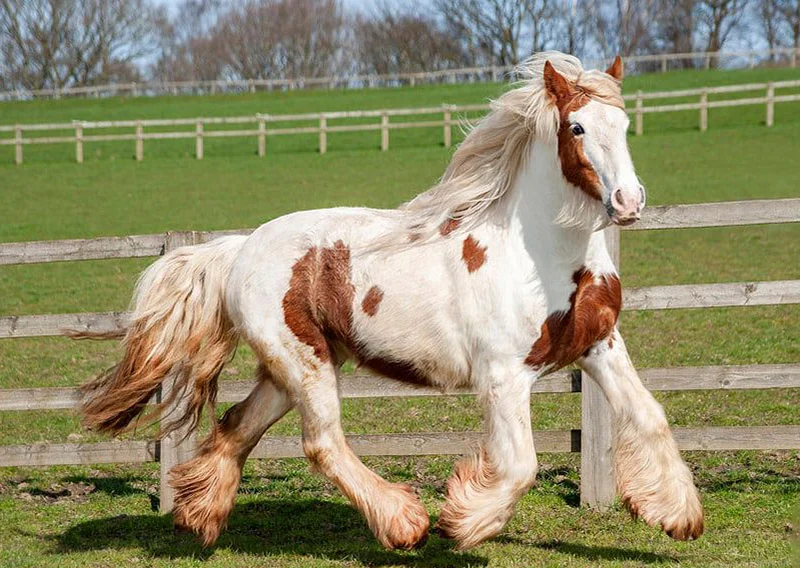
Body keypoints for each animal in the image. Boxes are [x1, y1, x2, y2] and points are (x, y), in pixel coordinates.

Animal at [76, 52, 704, 551]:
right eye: (576, 127)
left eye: (624, 123)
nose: (628, 201)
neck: (542, 257)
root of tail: (240, 248)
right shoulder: (503, 375)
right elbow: (519, 465)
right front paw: (461, 523)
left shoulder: (599, 347)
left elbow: (651, 416)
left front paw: (677, 515)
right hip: (306, 362)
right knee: (322, 443)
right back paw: (404, 523)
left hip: (292, 367)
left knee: (236, 426)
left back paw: (198, 518)